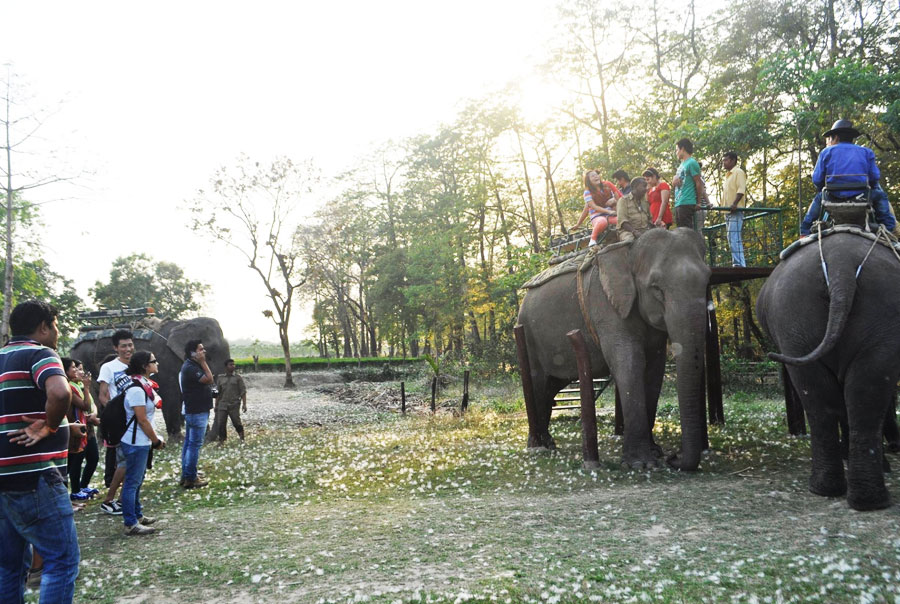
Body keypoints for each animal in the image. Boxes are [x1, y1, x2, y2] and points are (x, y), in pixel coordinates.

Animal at [71, 316, 232, 438]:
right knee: (99, 401)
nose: (210, 438)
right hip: (85, 366)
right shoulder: (165, 362)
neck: (184, 322)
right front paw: (178, 439)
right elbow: (171, 395)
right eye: (209, 355)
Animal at [516, 229, 712, 470]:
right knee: (538, 384)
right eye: (656, 288)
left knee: (551, 387)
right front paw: (642, 464)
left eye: (708, 281)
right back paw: (540, 446)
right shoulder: (604, 304)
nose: (674, 456)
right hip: (527, 335)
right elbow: (629, 361)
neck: (628, 250)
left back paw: (548, 443)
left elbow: (654, 369)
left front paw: (654, 452)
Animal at [760, 230, 900, 510]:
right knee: (858, 394)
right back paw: (861, 495)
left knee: (832, 395)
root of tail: (840, 267)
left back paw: (840, 492)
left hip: (794, 319)